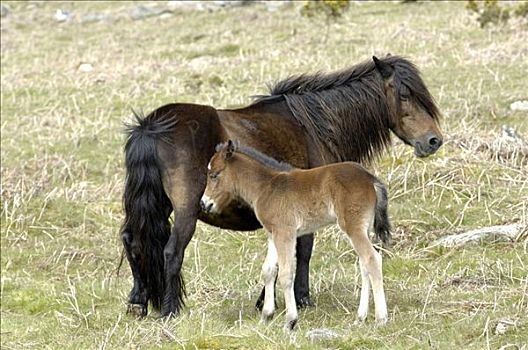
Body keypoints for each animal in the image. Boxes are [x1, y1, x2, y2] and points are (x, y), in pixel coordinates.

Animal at [202, 140, 392, 330]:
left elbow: (285, 274)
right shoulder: (273, 233)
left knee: (372, 259)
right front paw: (266, 315)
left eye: (214, 175)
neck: (266, 187)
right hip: (363, 227)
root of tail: (371, 179)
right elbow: (268, 270)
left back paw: (381, 318)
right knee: (364, 264)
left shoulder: (285, 232)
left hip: (353, 226)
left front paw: (290, 321)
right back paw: (360, 317)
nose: (204, 204)